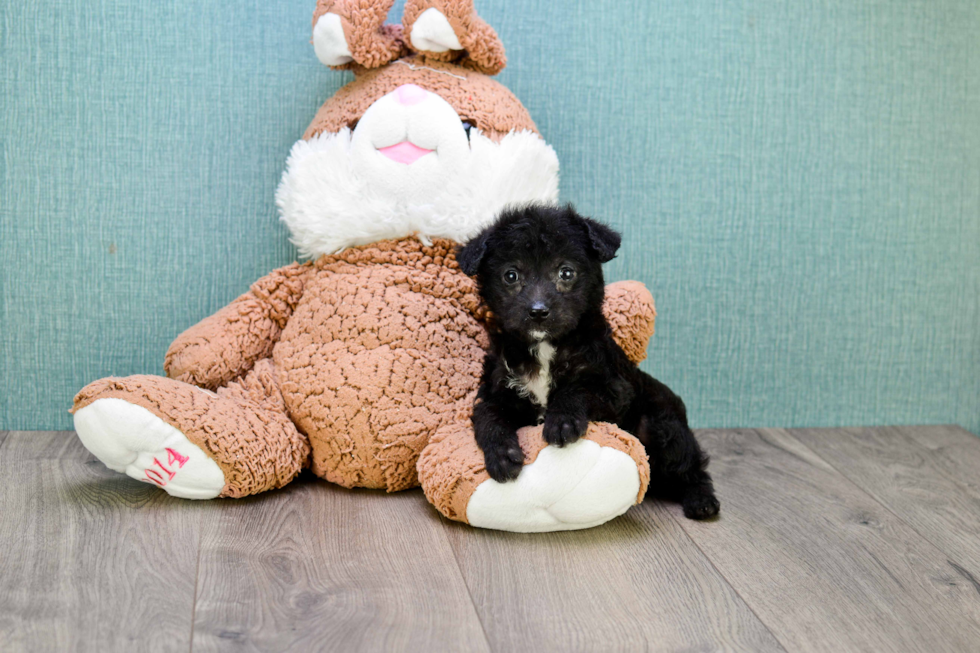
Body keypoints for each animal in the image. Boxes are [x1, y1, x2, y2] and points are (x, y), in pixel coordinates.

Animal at [460, 204, 720, 520]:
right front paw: (501, 455)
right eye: (510, 275)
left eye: (566, 272)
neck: (545, 347)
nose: (538, 312)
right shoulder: (495, 392)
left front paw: (562, 422)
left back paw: (702, 501)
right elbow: (489, 418)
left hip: (664, 430)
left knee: (692, 469)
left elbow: (576, 389)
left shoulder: (615, 389)